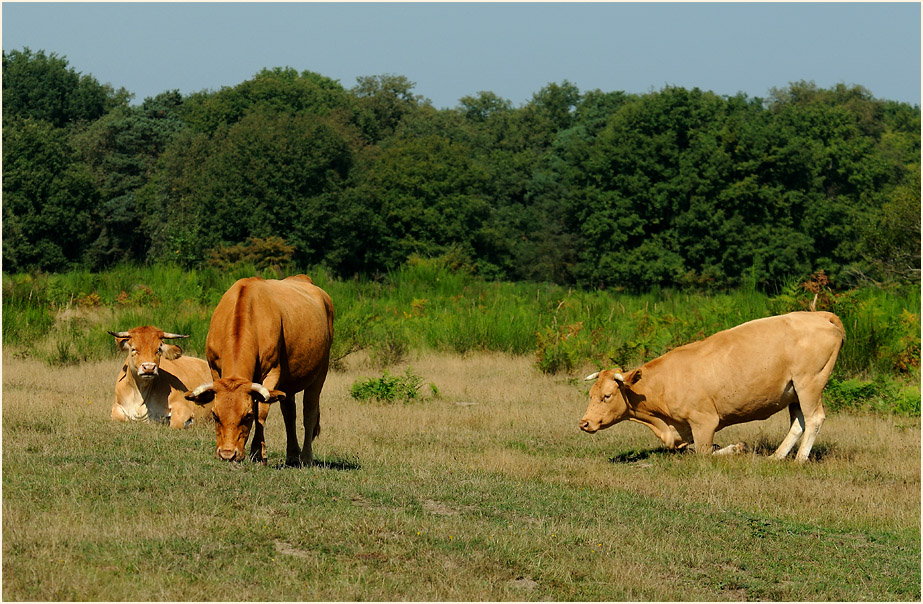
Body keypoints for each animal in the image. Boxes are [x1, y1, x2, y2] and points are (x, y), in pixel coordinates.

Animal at [184, 276, 336, 464]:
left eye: (247, 415)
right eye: (214, 415)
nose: (227, 453)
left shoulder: (271, 373)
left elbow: (261, 413)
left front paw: (257, 451)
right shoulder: (214, 369)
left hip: (320, 374)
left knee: (309, 413)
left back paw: (306, 457)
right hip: (288, 384)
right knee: (289, 413)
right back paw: (292, 454)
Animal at [580, 312, 848, 462]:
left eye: (607, 396)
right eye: (591, 394)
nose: (584, 423)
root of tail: (819, 315)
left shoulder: (704, 421)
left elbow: (704, 452)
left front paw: (737, 448)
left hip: (809, 383)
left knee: (814, 419)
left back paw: (799, 459)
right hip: (793, 392)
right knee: (798, 423)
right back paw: (776, 456)